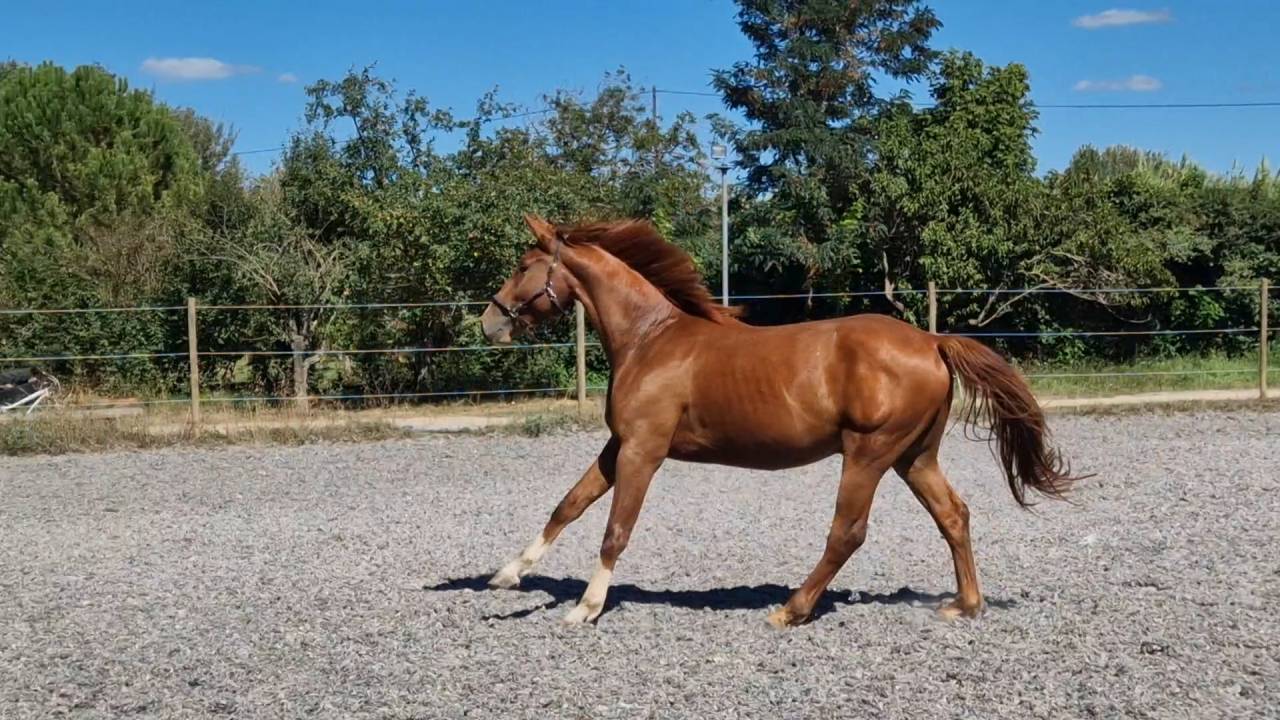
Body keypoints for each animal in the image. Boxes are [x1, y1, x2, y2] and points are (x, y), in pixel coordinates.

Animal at [480, 215, 1085, 627]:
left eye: (522, 266)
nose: (488, 322)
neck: (649, 338)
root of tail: (931, 341)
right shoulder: (617, 445)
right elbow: (568, 505)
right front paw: (507, 574)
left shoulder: (643, 451)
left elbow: (615, 529)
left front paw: (586, 607)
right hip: (915, 457)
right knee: (953, 515)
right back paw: (965, 604)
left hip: (869, 454)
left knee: (848, 532)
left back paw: (790, 609)